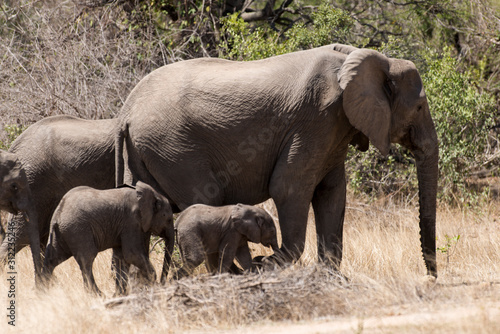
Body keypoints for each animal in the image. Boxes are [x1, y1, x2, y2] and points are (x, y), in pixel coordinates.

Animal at [41, 180, 174, 294]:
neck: (153, 195)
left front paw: (119, 294)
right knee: (87, 260)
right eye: (168, 219)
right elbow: (132, 254)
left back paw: (43, 293)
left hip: (62, 233)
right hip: (78, 229)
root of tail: (57, 214)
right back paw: (98, 295)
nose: (162, 283)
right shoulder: (131, 222)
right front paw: (153, 283)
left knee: (53, 259)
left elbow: (121, 258)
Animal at [116, 45, 438, 280]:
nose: (431, 278)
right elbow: (288, 187)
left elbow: (332, 194)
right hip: (175, 151)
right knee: (206, 198)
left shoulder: (333, 131)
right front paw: (264, 265)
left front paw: (330, 278)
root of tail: (126, 113)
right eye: (420, 107)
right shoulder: (316, 122)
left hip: (147, 152)